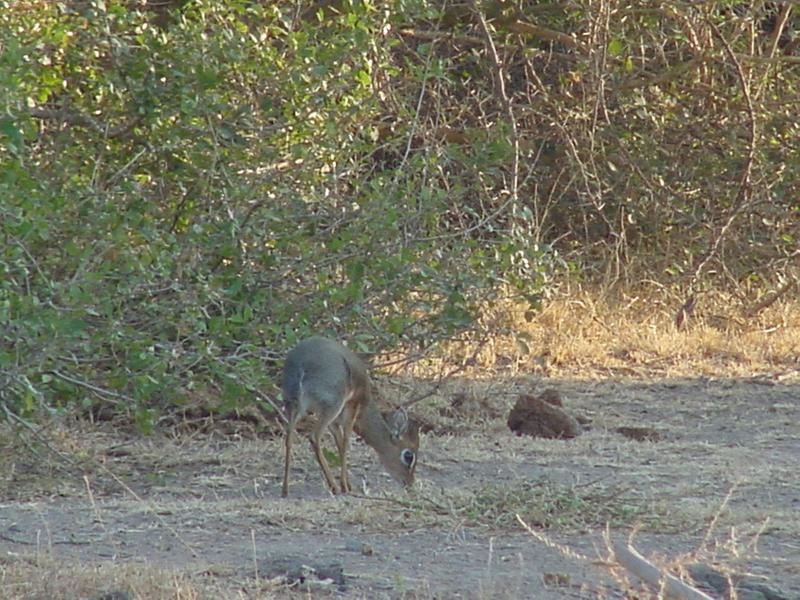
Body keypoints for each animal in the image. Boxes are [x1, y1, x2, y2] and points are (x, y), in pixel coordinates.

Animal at [280, 338, 418, 496]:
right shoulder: (352, 407)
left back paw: (285, 490)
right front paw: (345, 486)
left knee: (289, 438)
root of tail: (301, 365)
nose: (409, 483)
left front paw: (348, 484)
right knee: (314, 436)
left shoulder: (334, 421)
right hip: (332, 406)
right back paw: (334, 487)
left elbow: (339, 443)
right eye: (408, 456)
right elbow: (345, 442)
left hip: (294, 407)